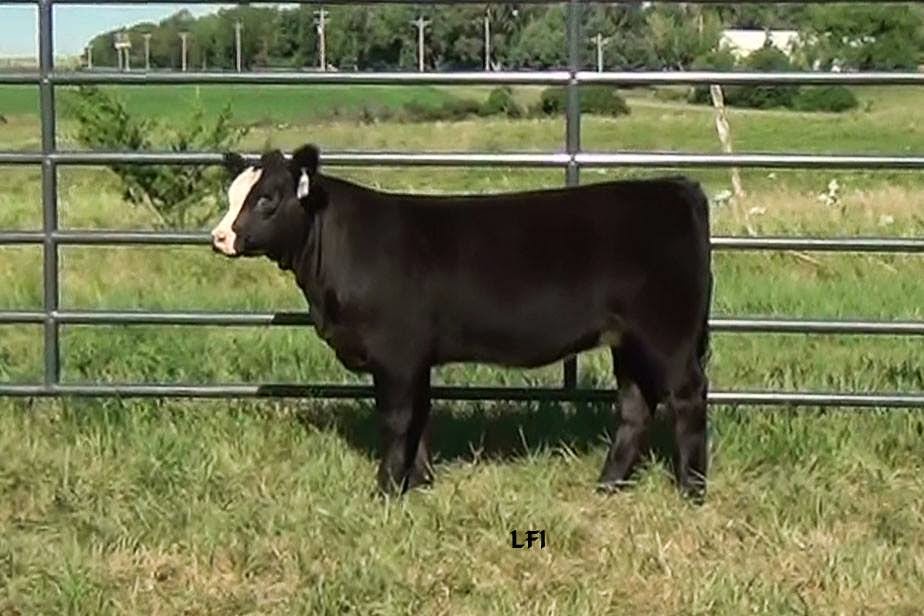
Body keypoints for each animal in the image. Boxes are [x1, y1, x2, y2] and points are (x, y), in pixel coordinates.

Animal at [210, 144, 714, 500]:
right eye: (232, 196)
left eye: (267, 199)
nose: (218, 237)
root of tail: (674, 187)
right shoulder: (415, 358)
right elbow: (420, 416)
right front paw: (419, 482)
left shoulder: (395, 354)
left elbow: (396, 420)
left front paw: (386, 489)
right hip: (628, 339)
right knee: (635, 404)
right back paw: (608, 485)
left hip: (667, 332)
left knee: (688, 395)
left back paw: (691, 489)